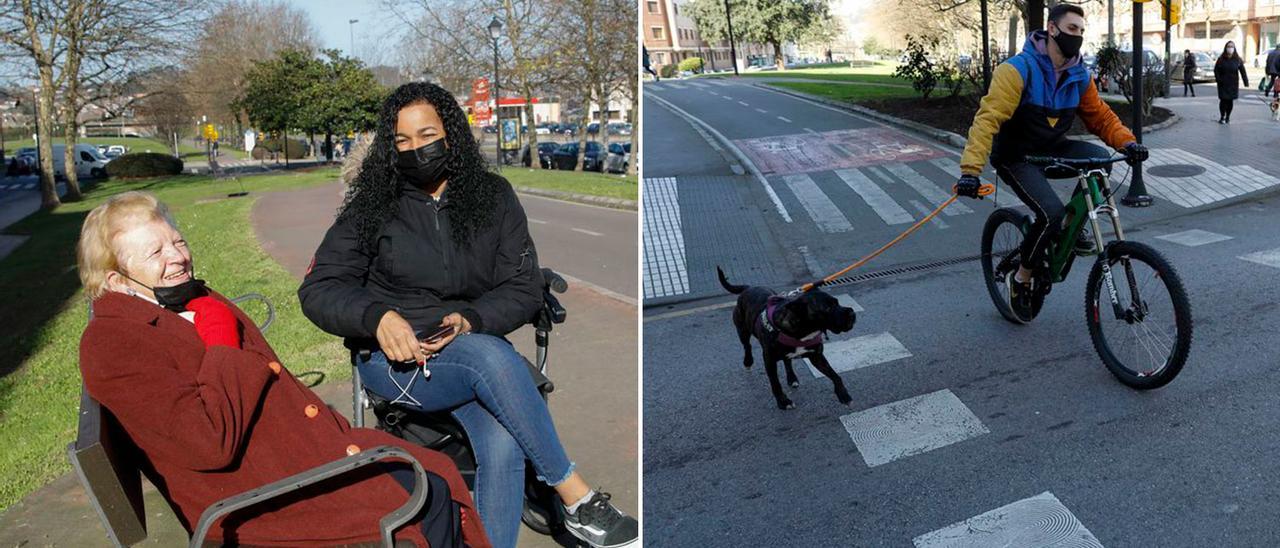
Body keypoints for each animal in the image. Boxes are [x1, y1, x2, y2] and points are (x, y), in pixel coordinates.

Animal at [716, 267, 855, 409]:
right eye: (827, 308)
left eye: (837, 303)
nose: (852, 313)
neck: (804, 331)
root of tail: (748, 288)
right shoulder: (769, 361)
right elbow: (775, 383)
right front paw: (783, 402)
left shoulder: (816, 357)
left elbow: (834, 375)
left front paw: (843, 394)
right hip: (742, 330)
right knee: (747, 346)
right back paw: (748, 361)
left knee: (787, 361)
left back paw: (792, 378)